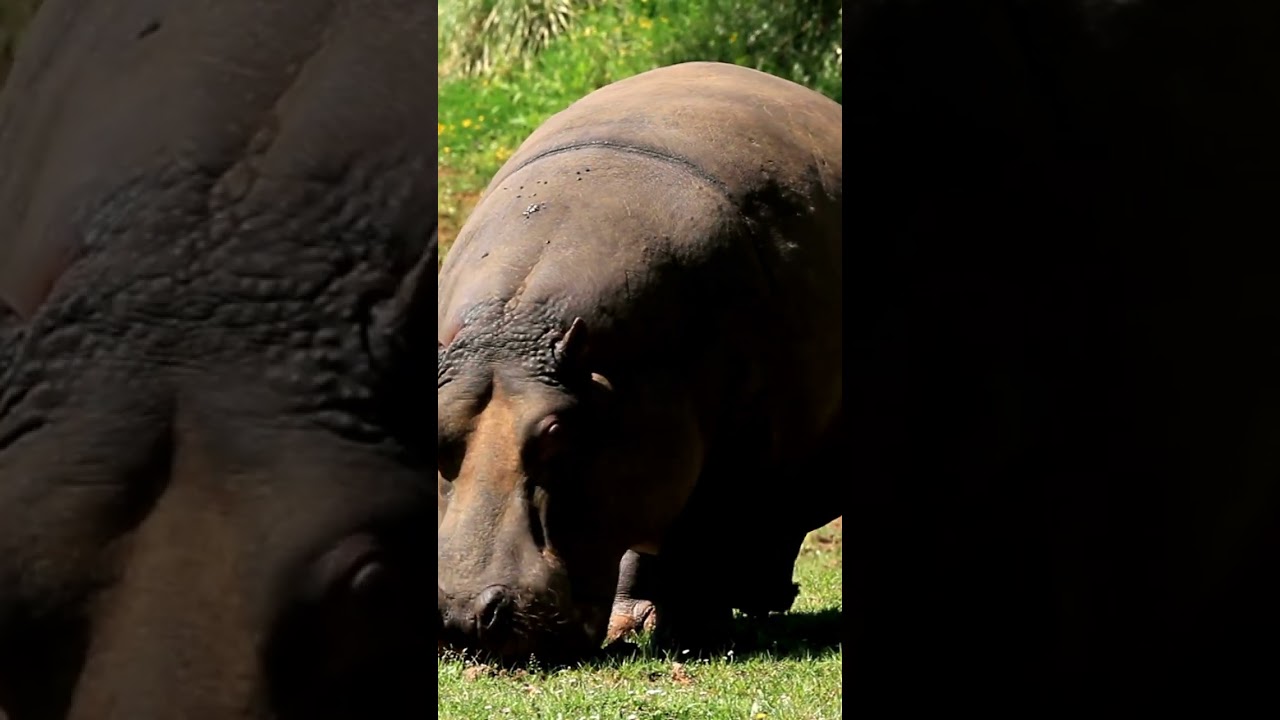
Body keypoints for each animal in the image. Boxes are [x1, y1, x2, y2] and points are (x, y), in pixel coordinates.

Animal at [436, 61, 842, 661]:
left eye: (558, 432)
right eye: (437, 431)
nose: (463, 616)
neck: (517, 327)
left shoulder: (743, 453)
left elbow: (704, 538)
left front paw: (693, 635)